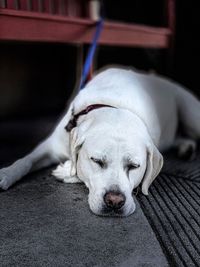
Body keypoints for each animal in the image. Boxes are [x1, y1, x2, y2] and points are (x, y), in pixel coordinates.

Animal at [0, 68, 200, 217]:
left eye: (134, 166)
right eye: (96, 161)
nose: (115, 201)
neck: (113, 104)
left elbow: (76, 169)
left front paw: (66, 169)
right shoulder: (51, 145)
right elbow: (25, 161)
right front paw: (7, 173)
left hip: (191, 114)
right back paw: (186, 148)